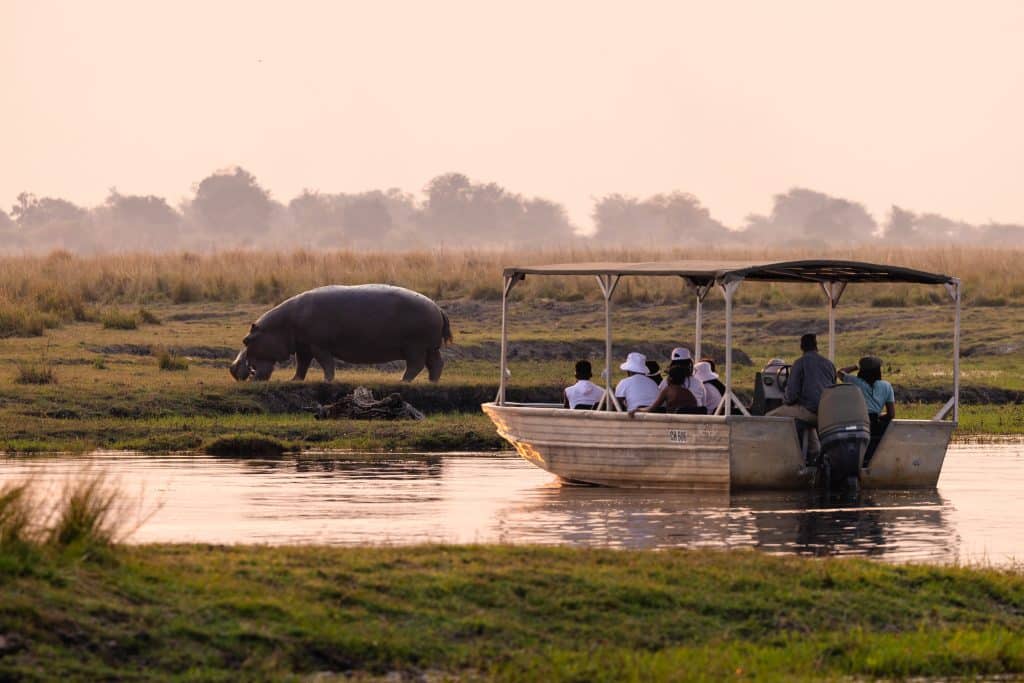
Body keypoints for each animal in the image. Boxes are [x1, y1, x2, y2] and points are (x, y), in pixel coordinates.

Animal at [230, 284, 452, 382]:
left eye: (246, 340)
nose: (232, 368)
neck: (283, 325)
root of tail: (437, 307)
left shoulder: (318, 346)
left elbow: (326, 363)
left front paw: (327, 381)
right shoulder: (304, 347)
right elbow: (302, 365)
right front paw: (294, 381)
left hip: (415, 347)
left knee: (416, 365)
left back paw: (402, 381)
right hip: (430, 347)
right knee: (436, 364)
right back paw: (432, 382)